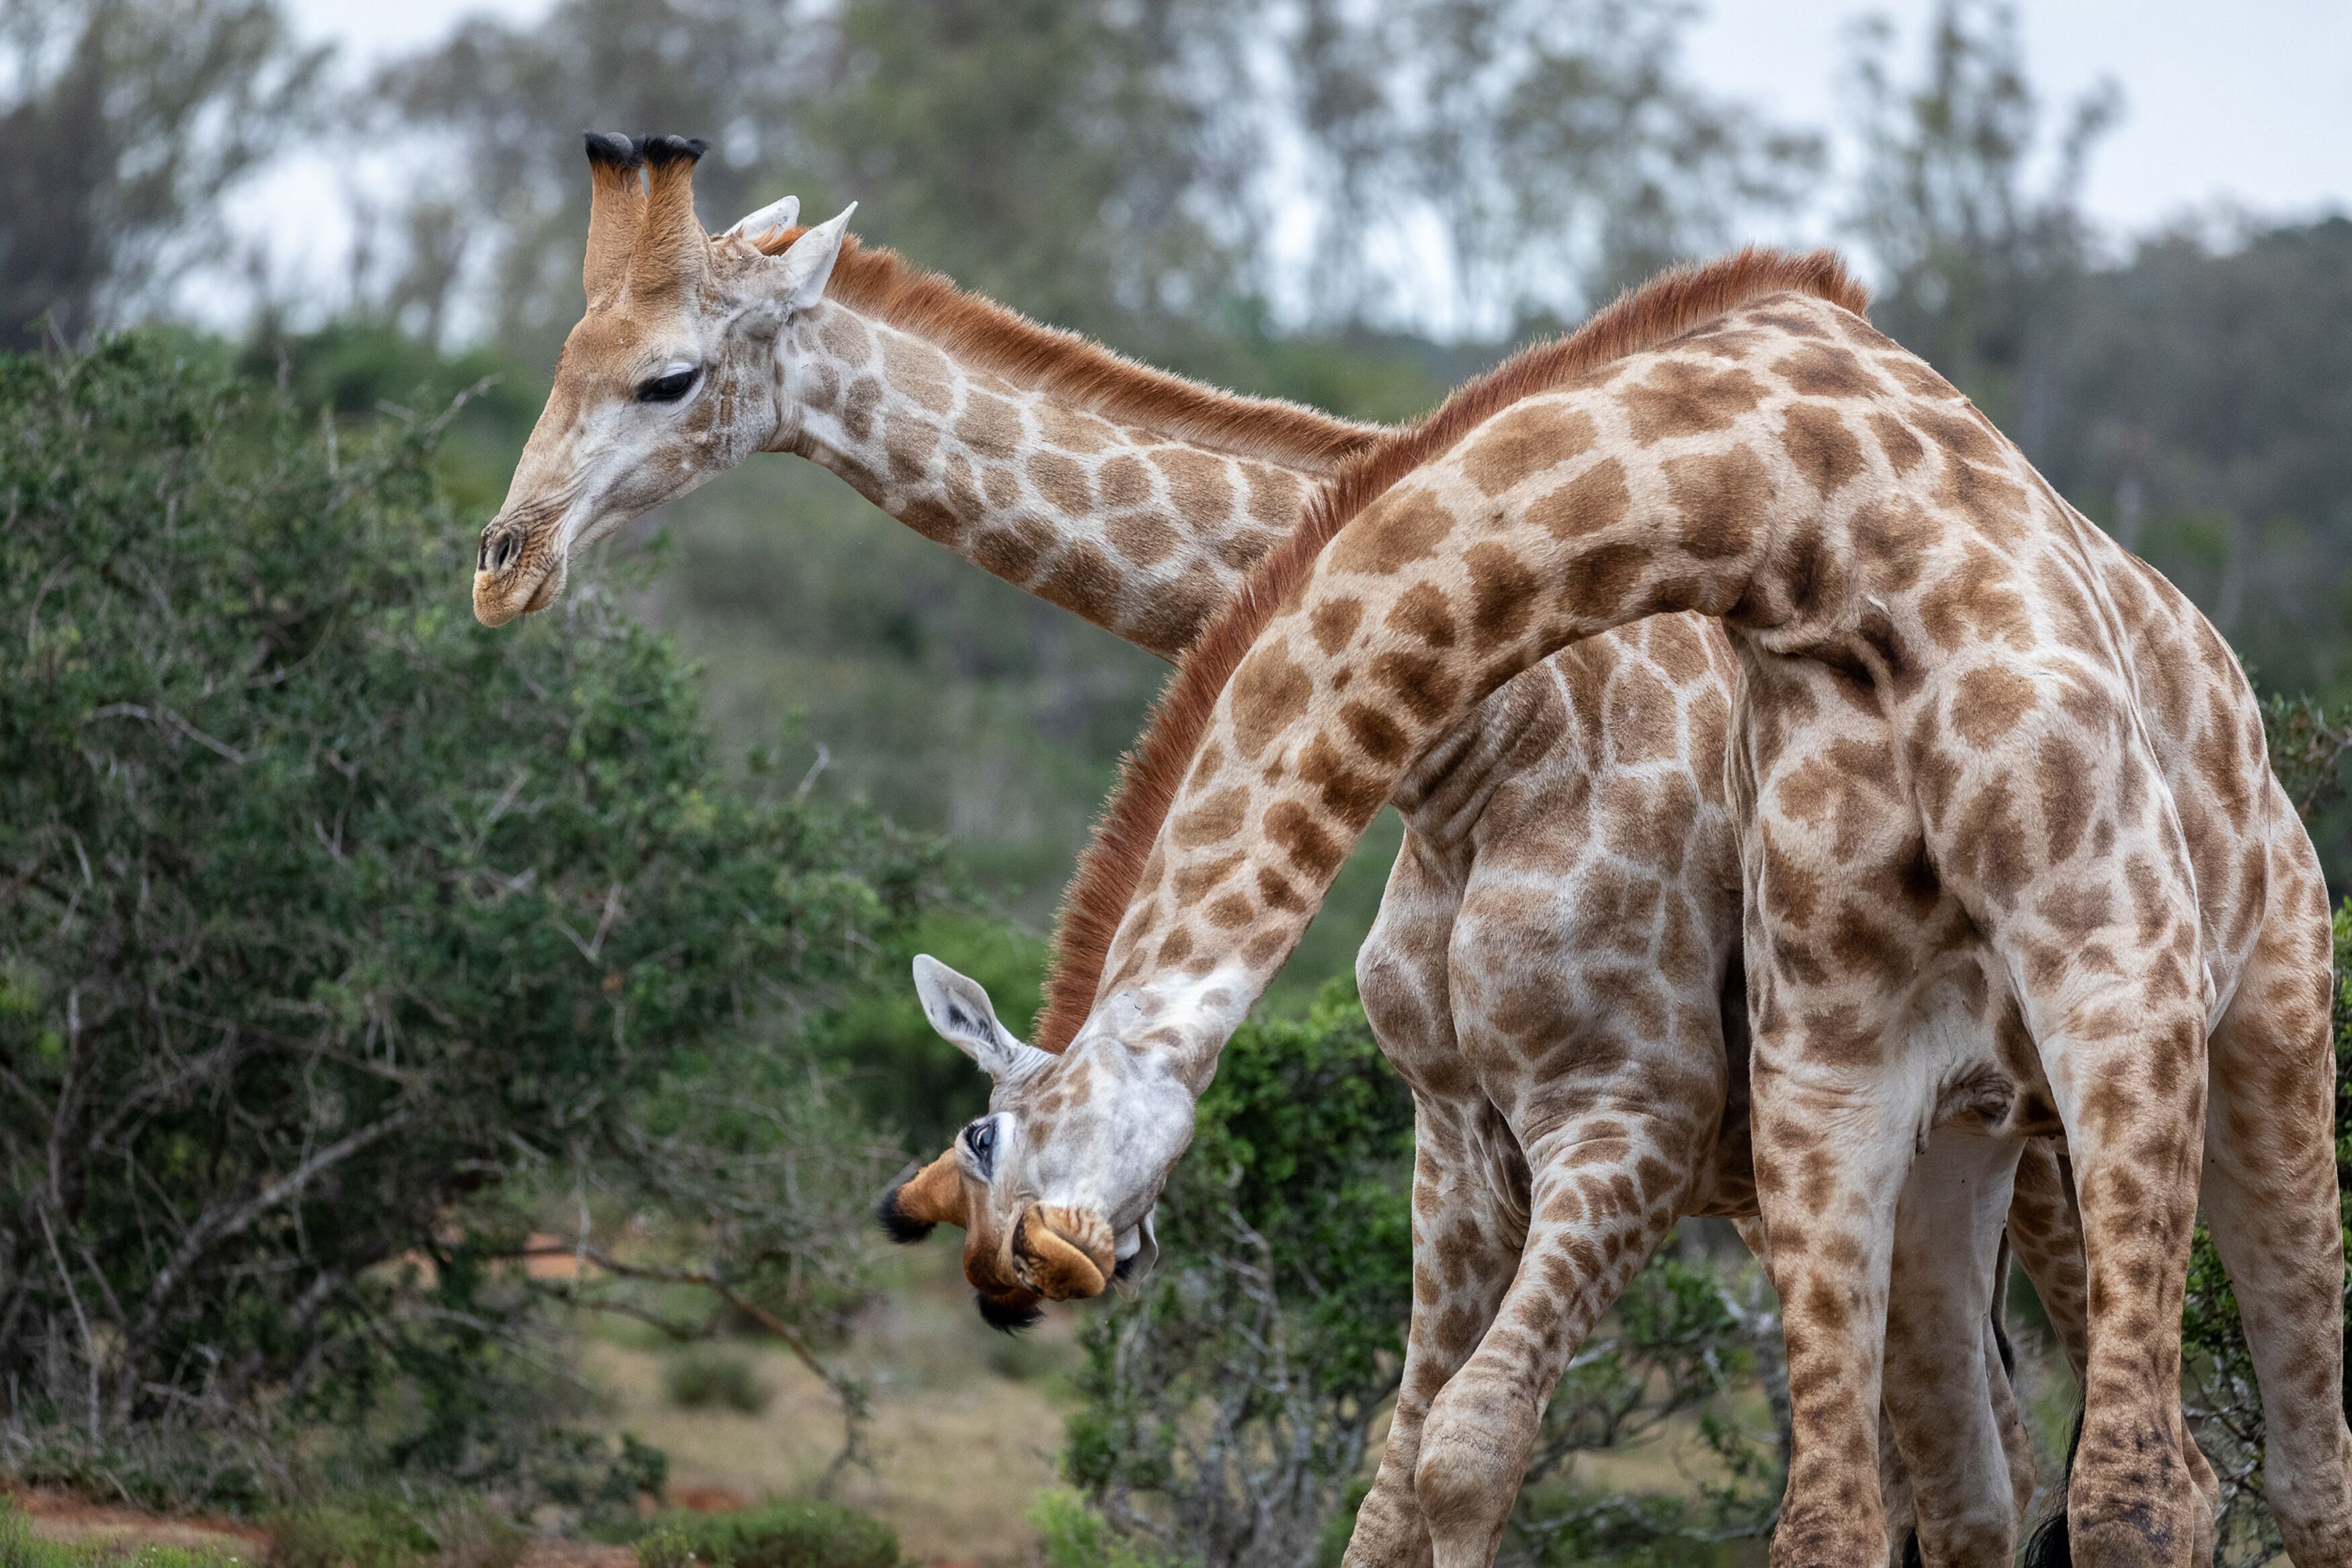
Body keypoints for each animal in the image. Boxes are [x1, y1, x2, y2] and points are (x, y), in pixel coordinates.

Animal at [474, 139, 2087, 1563]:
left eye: (667, 376)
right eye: (563, 353)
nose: (504, 562)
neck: (1499, 736)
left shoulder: (1637, 1112)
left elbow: (1474, 1448)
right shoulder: (1468, 1130)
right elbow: (1400, 1466)